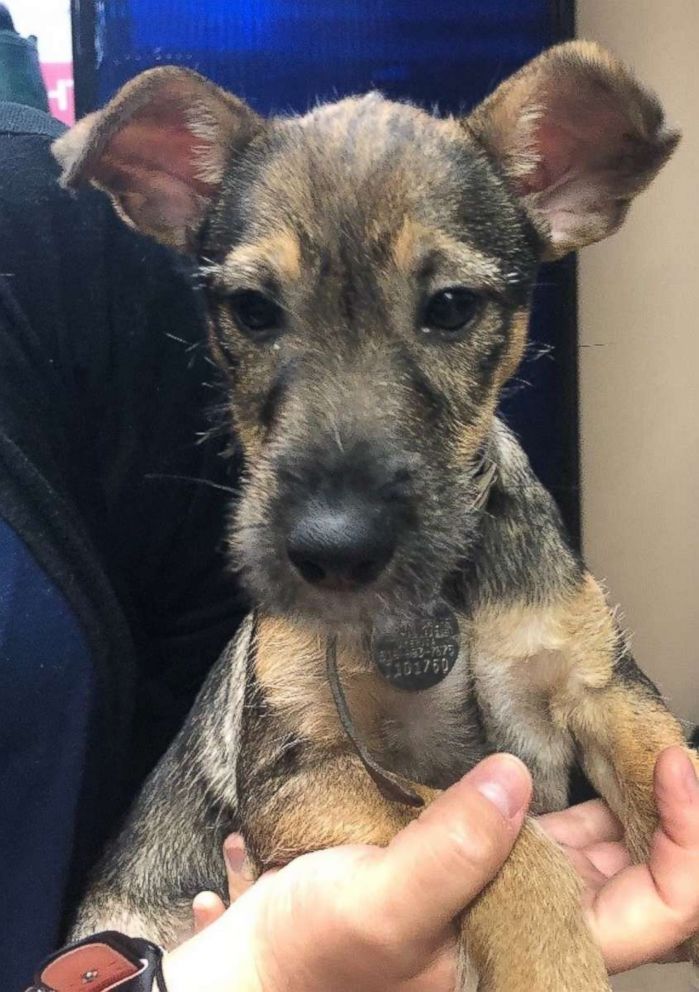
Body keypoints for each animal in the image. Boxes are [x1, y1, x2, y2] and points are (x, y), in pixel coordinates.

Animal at [53, 40, 696, 992]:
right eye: (252, 311)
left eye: (451, 308)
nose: (333, 552)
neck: (447, 600)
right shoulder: (304, 770)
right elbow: (500, 840)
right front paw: (549, 960)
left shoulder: (601, 685)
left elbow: (659, 766)